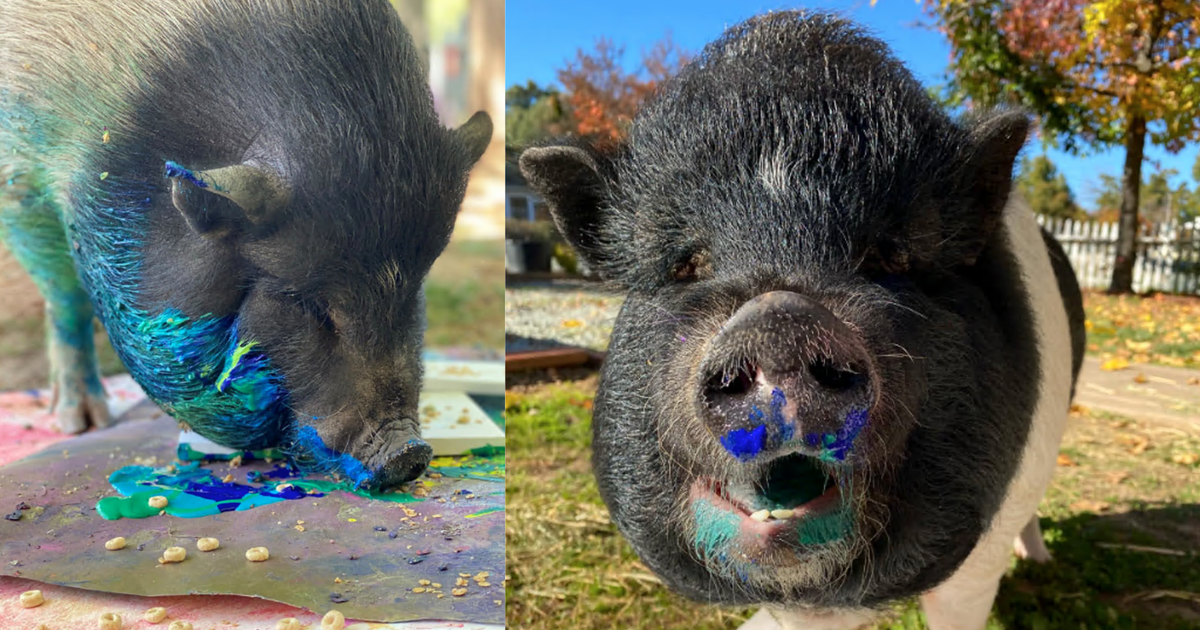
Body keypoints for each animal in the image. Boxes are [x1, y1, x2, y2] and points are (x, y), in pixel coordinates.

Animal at [0, 0, 491, 488]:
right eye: (305, 304)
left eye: (414, 290)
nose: (410, 452)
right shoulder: (19, 183)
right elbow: (64, 297)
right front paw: (84, 424)